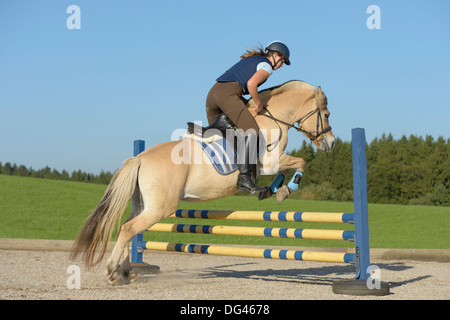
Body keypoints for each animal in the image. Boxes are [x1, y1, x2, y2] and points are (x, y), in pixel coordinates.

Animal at [70, 79, 334, 282]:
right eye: (326, 114)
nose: (331, 144)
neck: (273, 119)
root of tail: (140, 158)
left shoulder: (272, 163)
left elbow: (292, 167)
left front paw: (274, 190)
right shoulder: (271, 161)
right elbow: (300, 163)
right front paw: (283, 190)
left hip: (144, 205)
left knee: (128, 229)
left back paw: (127, 272)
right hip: (160, 208)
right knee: (128, 229)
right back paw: (114, 272)